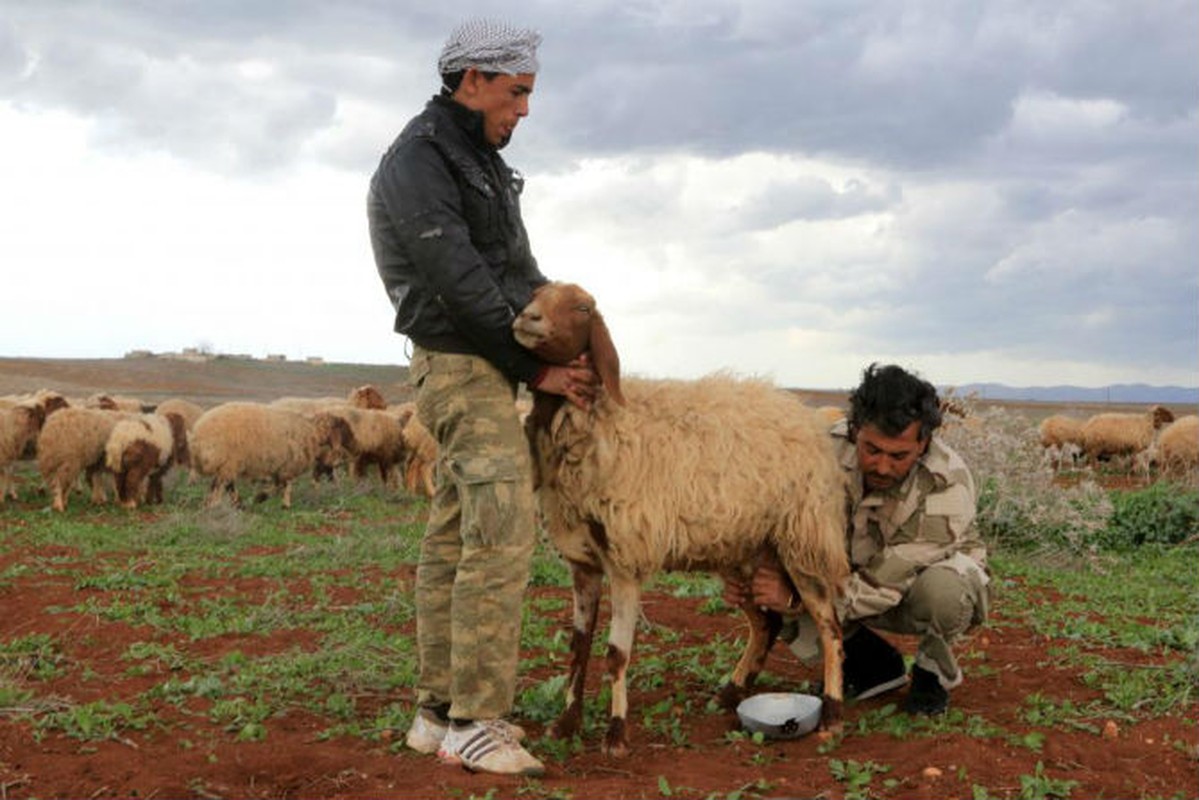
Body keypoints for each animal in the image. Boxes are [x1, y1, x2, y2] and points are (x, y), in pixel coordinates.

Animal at [189, 402, 352, 510]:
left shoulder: (282, 467)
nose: (339, 460)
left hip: (227, 464)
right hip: (229, 462)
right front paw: (264, 498)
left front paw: (279, 502)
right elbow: (282, 486)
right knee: (222, 484)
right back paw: (218, 505)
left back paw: (231, 504)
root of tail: (198, 432)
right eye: (340, 429)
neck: (311, 432)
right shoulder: (287, 466)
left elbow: (281, 486)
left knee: (224, 485)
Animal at [515, 281, 853, 758]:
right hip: (742, 549)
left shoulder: (625, 561)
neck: (601, 423)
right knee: (764, 623)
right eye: (538, 292)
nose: (527, 318)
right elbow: (578, 645)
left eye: (582, 308)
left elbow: (616, 653)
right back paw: (731, 691)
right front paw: (565, 725)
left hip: (801, 538)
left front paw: (616, 735)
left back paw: (834, 712)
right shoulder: (583, 562)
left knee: (828, 624)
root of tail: (803, 413)